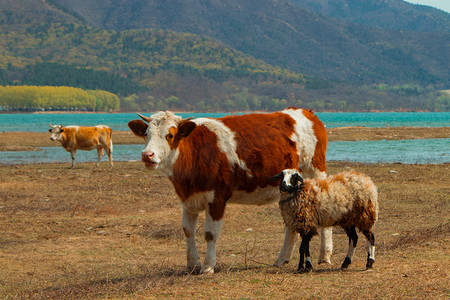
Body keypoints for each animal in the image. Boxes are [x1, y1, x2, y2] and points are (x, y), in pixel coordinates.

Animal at [127, 108, 330, 274]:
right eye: (146, 134)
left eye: (169, 135)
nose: (147, 155)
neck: (195, 151)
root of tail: (306, 112)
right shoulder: (188, 199)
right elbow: (188, 231)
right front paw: (192, 264)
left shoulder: (217, 198)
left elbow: (210, 233)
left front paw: (208, 266)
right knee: (290, 224)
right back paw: (281, 259)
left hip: (315, 171)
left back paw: (325, 256)